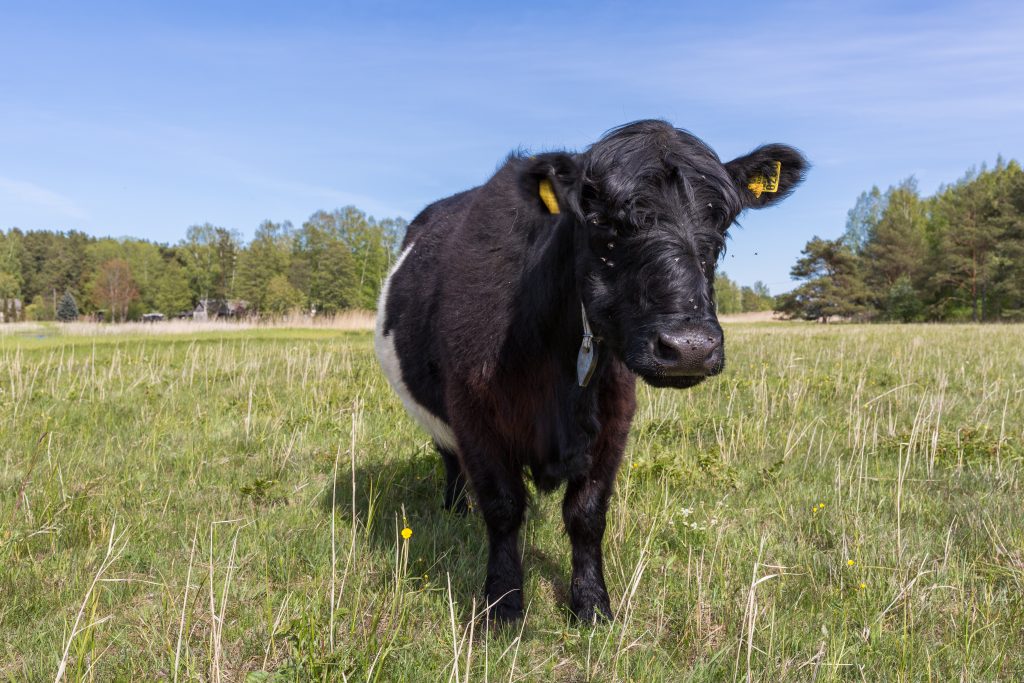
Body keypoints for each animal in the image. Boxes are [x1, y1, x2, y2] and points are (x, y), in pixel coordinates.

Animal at [376, 118, 806, 626]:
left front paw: (592, 603)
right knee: (450, 460)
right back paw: (455, 510)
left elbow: (587, 513)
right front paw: (503, 605)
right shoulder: (473, 412)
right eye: (601, 222)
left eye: (721, 221)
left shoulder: (614, 418)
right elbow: (503, 507)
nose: (689, 347)